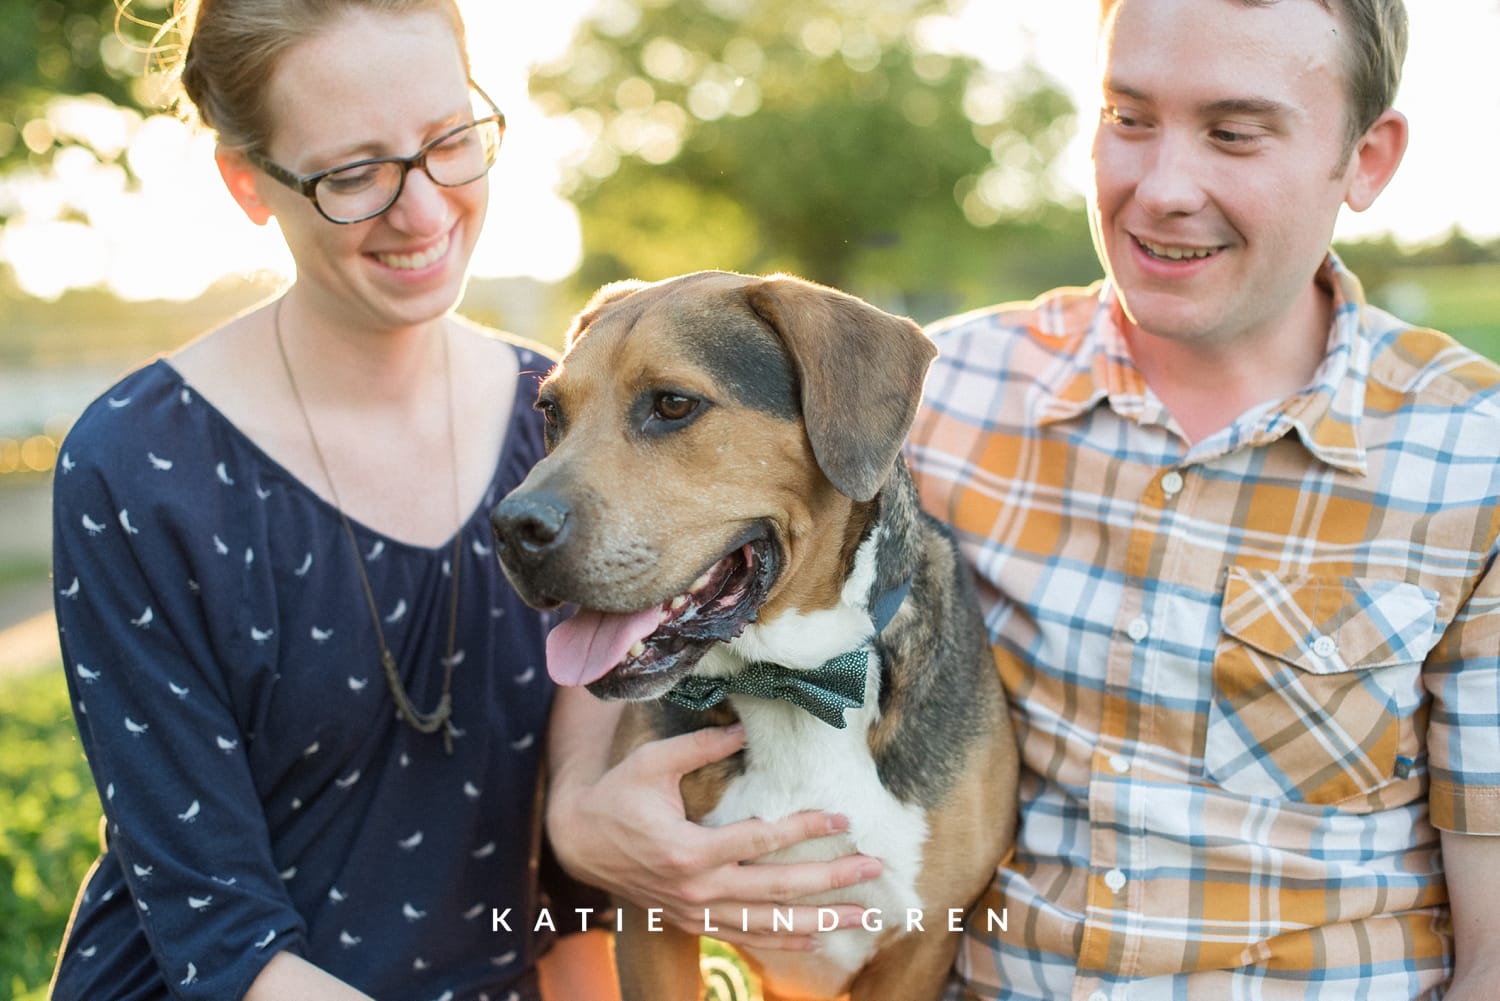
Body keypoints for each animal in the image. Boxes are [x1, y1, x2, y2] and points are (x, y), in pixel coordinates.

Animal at [495, 271, 1020, 1001]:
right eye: (550, 412)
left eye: (674, 404)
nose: (511, 528)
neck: (793, 684)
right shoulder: (651, 914)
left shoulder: (921, 946)